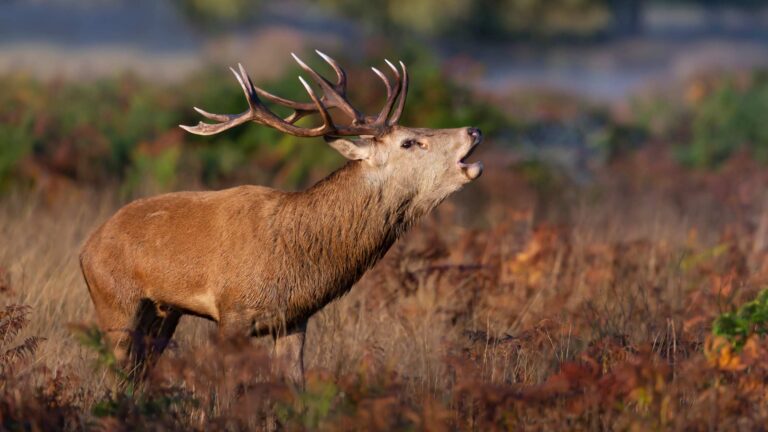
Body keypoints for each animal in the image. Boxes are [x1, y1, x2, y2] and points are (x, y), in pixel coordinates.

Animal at [79, 51, 483, 384]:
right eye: (409, 142)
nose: (473, 129)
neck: (296, 262)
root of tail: (86, 248)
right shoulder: (232, 311)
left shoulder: (294, 320)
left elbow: (293, 386)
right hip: (115, 300)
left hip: (164, 314)